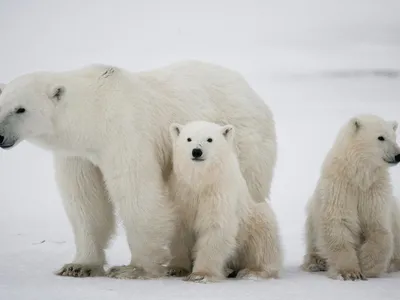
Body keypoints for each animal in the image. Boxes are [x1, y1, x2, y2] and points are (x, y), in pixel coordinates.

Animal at [166, 120, 282, 282]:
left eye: (209, 139)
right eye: (188, 139)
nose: (196, 151)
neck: (201, 182)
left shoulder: (219, 193)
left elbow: (216, 228)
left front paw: (201, 274)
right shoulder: (181, 193)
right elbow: (179, 229)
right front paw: (176, 268)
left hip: (253, 220)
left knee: (264, 241)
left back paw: (253, 271)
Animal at [302, 115, 400, 282]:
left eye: (394, 137)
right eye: (381, 137)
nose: (398, 155)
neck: (359, 177)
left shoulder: (374, 191)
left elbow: (379, 228)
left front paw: (367, 265)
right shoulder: (340, 188)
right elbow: (338, 224)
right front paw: (350, 272)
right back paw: (316, 263)